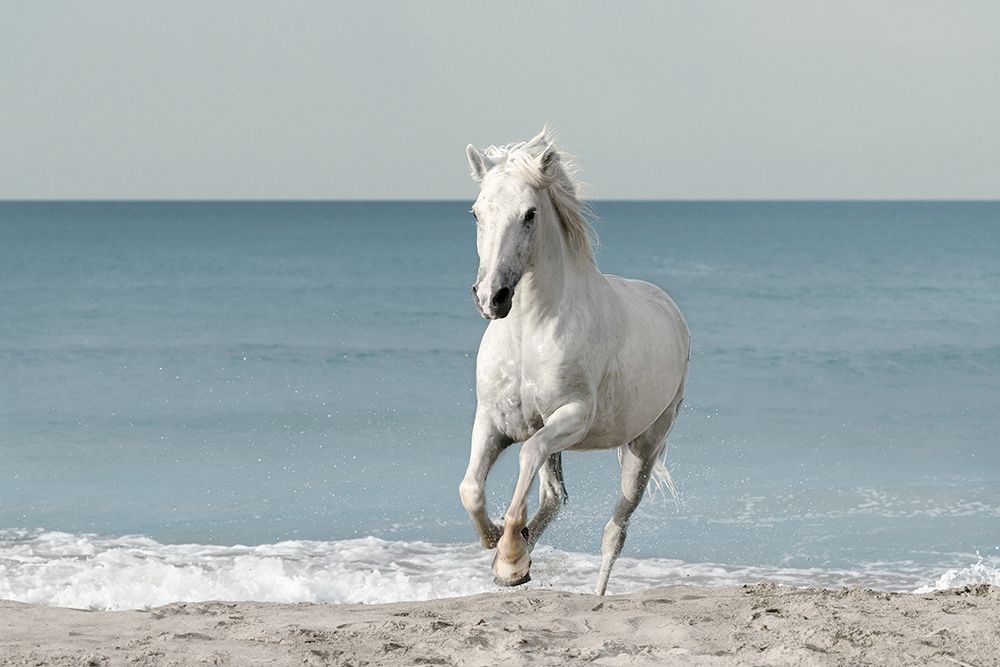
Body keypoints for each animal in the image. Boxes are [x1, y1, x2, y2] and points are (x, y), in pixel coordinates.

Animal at [458, 127, 691, 595]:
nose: (492, 297)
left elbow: (526, 457)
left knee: (614, 531)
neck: (528, 335)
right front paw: (499, 549)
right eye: (476, 213)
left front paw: (510, 555)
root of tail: (670, 307)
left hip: (643, 448)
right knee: (554, 496)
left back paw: (593, 592)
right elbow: (471, 488)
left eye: (529, 214)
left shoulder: (573, 417)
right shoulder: (493, 420)